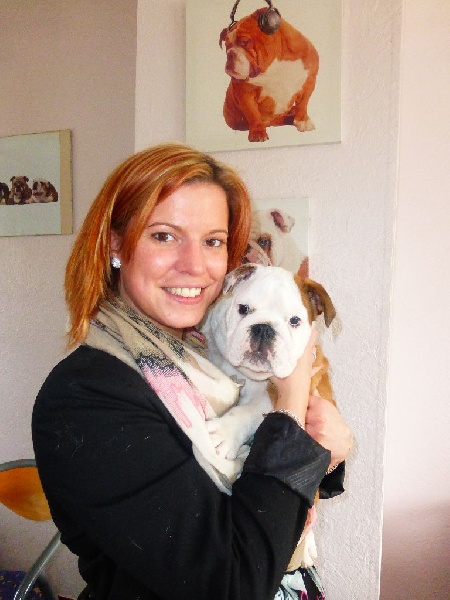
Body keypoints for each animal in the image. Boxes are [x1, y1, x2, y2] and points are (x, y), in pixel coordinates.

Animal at [201, 263, 336, 568]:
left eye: (295, 321)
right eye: (243, 309)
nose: (263, 329)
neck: (247, 376)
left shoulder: (271, 396)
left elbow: (247, 412)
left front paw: (223, 434)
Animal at [219, 8, 319, 142]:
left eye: (244, 42)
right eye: (227, 46)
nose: (230, 54)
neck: (273, 65)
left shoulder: (309, 81)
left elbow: (303, 103)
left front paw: (303, 121)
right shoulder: (245, 92)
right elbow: (253, 113)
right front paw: (258, 133)